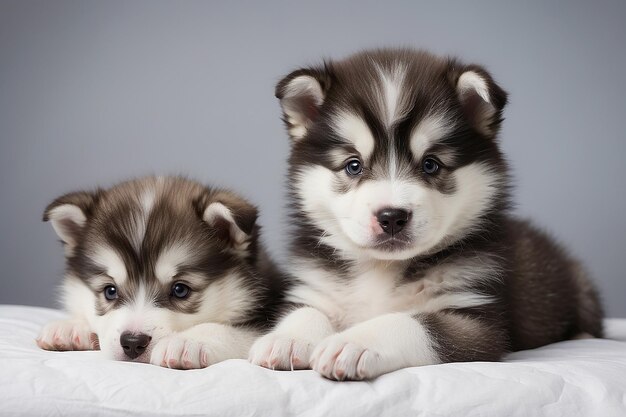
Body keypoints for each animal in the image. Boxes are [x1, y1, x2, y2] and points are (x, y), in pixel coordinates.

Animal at [35, 176, 284, 368]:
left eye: (180, 290)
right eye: (110, 291)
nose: (133, 342)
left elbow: (233, 330)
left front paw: (188, 341)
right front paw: (71, 326)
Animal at [247, 48, 600, 380]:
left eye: (431, 164)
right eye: (353, 165)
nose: (391, 216)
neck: (382, 269)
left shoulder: (476, 319)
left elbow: (413, 322)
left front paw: (353, 342)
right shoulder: (317, 286)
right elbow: (306, 310)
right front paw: (288, 338)